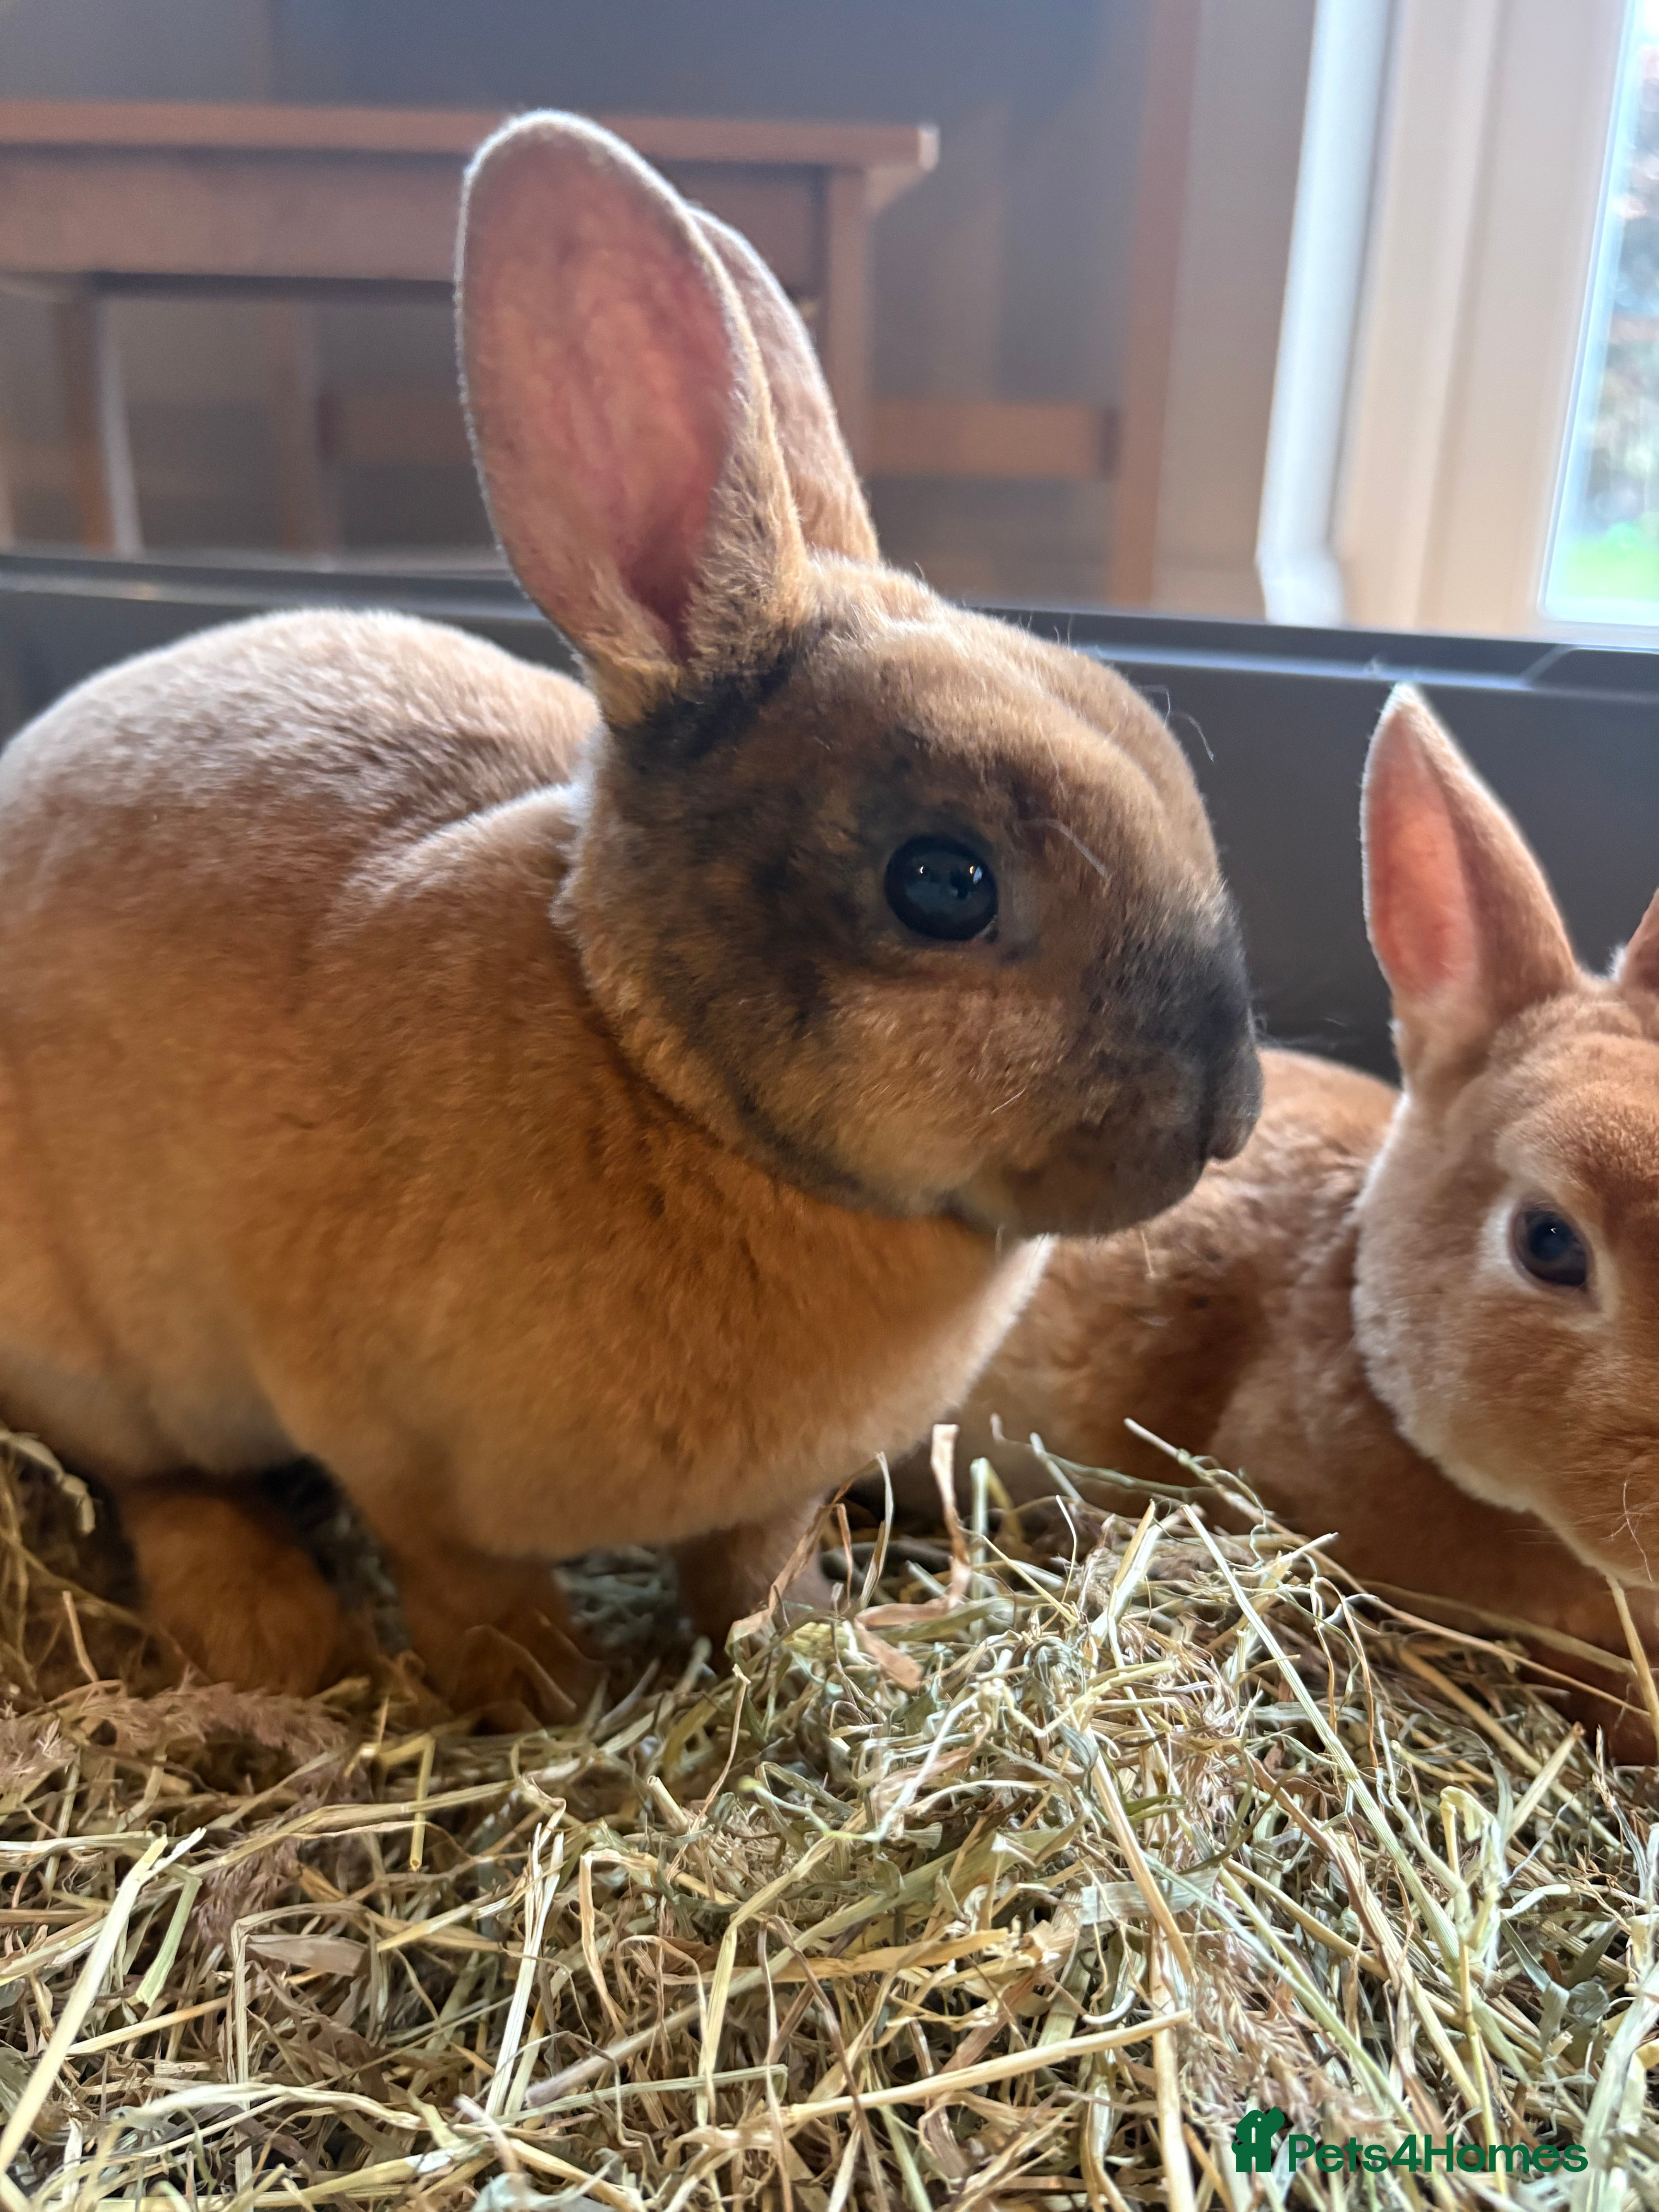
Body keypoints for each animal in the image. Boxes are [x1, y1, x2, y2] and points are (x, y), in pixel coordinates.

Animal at [0, 115, 1259, 1717]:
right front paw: (540, 1697)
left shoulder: (768, 1499)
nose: (1228, 1112)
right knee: (154, 1479)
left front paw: (821, 1647)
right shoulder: (396, 1456)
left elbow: (752, 1578)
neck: (659, 1073)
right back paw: (269, 1628)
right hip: (98, 1349)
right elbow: (467, 1588)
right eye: (943, 882)